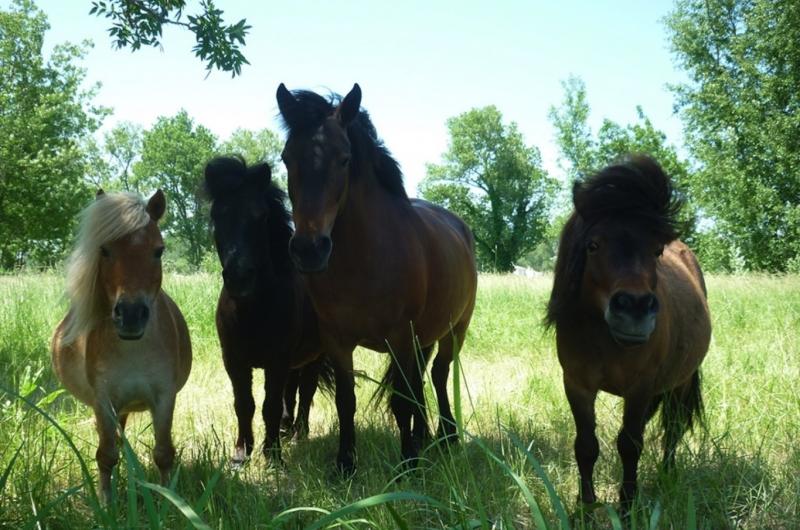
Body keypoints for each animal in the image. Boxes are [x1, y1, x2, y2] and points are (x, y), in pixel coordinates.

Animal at [51, 189, 192, 500]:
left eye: (158, 250)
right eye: (104, 250)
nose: (130, 315)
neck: (133, 350)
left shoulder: (164, 397)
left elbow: (164, 452)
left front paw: (169, 500)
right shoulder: (104, 402)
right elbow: (106, 455)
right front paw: (106, 501)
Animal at [206, 155, 332, 460]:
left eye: (260, 216)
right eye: (217, 216)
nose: (240, 277)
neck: (251, 311)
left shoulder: (277, 360)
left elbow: (270, 405)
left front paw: (272, 453)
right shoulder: (234, 361)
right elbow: (244, 403)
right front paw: (241, 453)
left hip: (315, 355)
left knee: (306, 391)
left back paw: (299, 433)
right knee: (292, 390)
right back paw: (287, 428)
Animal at [276, 82, 476, 470]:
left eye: (344, 158)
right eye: (286, 158)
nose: (309, 249)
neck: (364, 262)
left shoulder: (400, 337)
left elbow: (401, 401)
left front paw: (408, 465)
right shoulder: (337, 341)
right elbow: (346, 402)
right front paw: (345, 464)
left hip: (454, 330)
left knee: (439, 374)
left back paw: (446, 436)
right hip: (423, 338)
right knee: (420, 381)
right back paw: (425, 436)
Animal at [548, 155, 708, 510]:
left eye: (656, 250)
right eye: (593, 245)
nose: (634, 308)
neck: (603, 339)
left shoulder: (641, 387)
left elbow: (630, 445)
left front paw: (627, 506)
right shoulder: (576, 384)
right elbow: (586, 445)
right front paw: (585, 505)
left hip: (679, 384)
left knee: (672, 428)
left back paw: (666, 475)